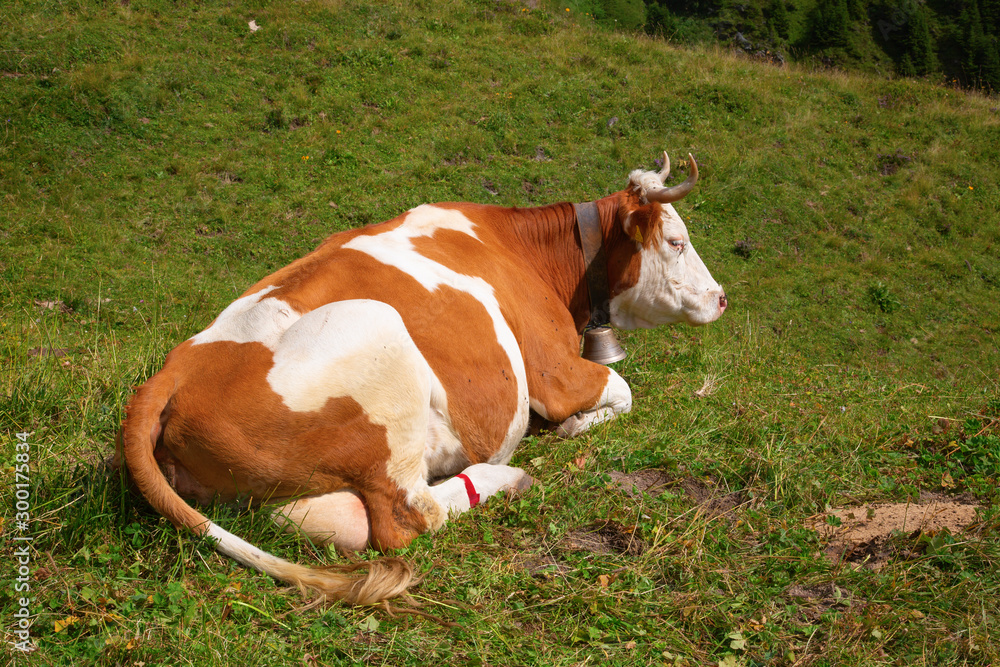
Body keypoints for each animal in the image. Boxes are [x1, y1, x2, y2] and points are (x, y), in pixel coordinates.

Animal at [119, 151, 727, 605]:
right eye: (676, 242)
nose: (721, 297)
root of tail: (169, 376)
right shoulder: (553, 373)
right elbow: (623, 390)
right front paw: (576, 426)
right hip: (380, 339)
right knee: (411, 517)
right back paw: (502, 478)